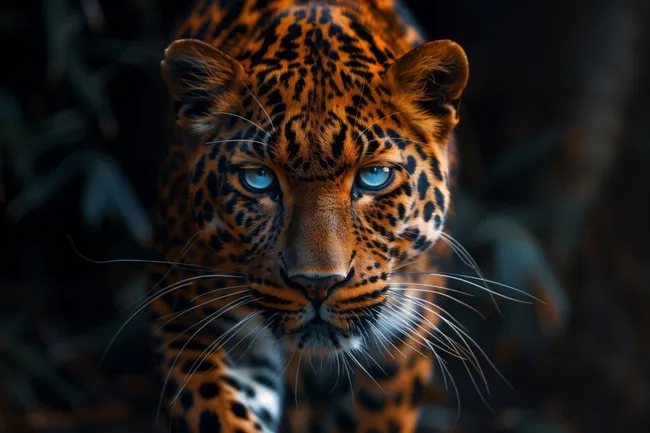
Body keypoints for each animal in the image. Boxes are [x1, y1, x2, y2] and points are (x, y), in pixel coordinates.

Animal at [149, 0, 470, 432]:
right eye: (259, 179)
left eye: (374, 176)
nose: (317, 285)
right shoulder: (182, 316)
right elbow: (216, 411)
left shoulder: (404, 338)